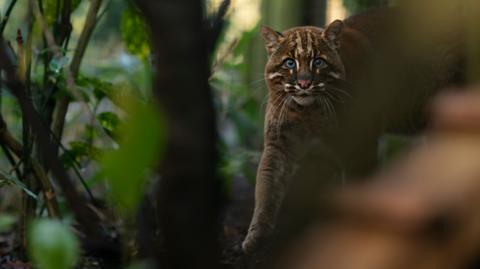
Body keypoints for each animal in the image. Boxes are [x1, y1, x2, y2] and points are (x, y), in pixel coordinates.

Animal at [242, 6, 466, 253]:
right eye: (290, 63)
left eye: (318, 62)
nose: (304, 84)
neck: (309, 113)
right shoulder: (279, 144)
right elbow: (266, 186)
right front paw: (256, 236)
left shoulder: (361, 142)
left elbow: (358, 187)